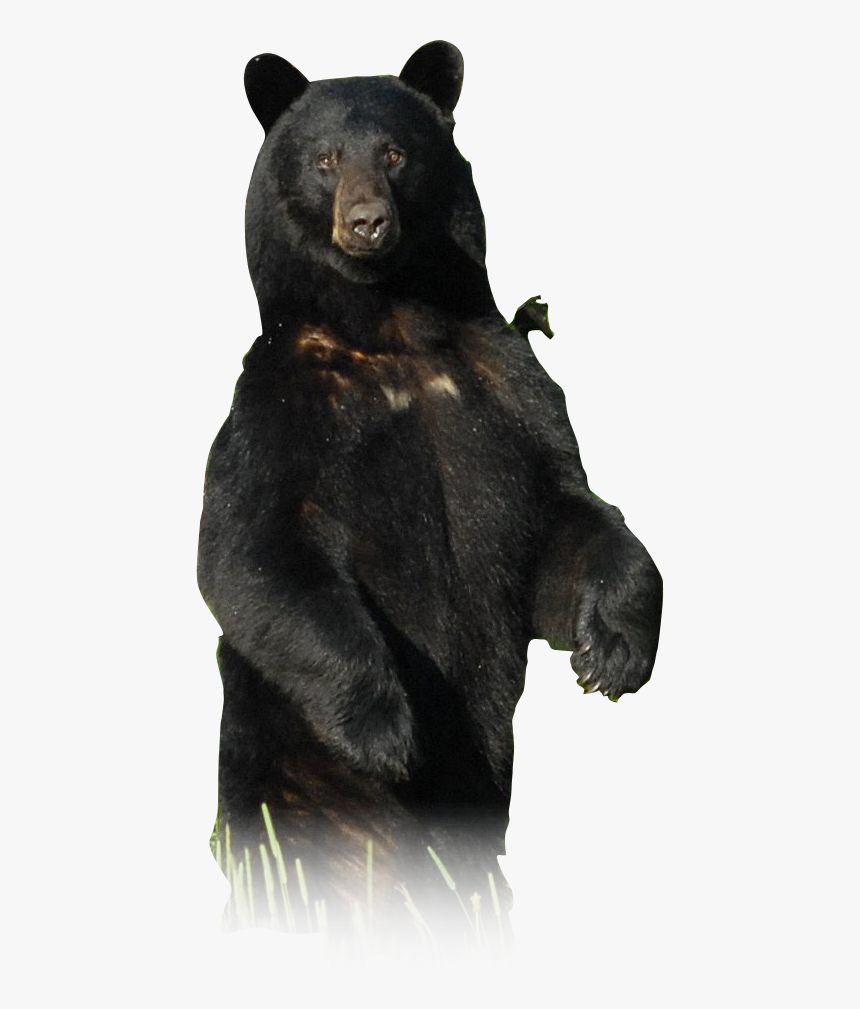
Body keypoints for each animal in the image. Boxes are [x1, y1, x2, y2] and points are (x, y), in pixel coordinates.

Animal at [197, 41, 662, 949]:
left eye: (395, 154)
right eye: (325, 159)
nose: (366, 222)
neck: (393, 331)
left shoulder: (510, 388)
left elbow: (565, 518)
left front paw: (614, 650)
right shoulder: (278, 408)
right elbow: (253, 552)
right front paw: (387, 729)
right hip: (289, 778)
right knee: (296, 860)